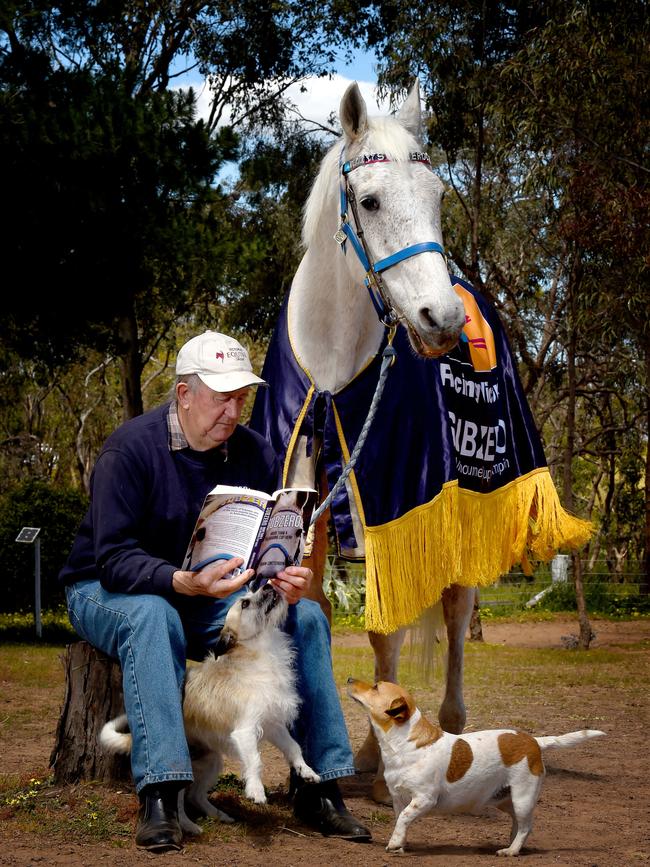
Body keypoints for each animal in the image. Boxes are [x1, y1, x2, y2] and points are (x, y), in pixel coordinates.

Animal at [280, 85, 474, 804]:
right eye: (369, 200)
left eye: (438, 194)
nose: (443, 321)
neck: (337, 373)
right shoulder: (303, 510)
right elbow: (308, 614)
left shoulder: (392, 512)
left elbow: (384, 630)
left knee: (455, 613)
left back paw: (446, 726)